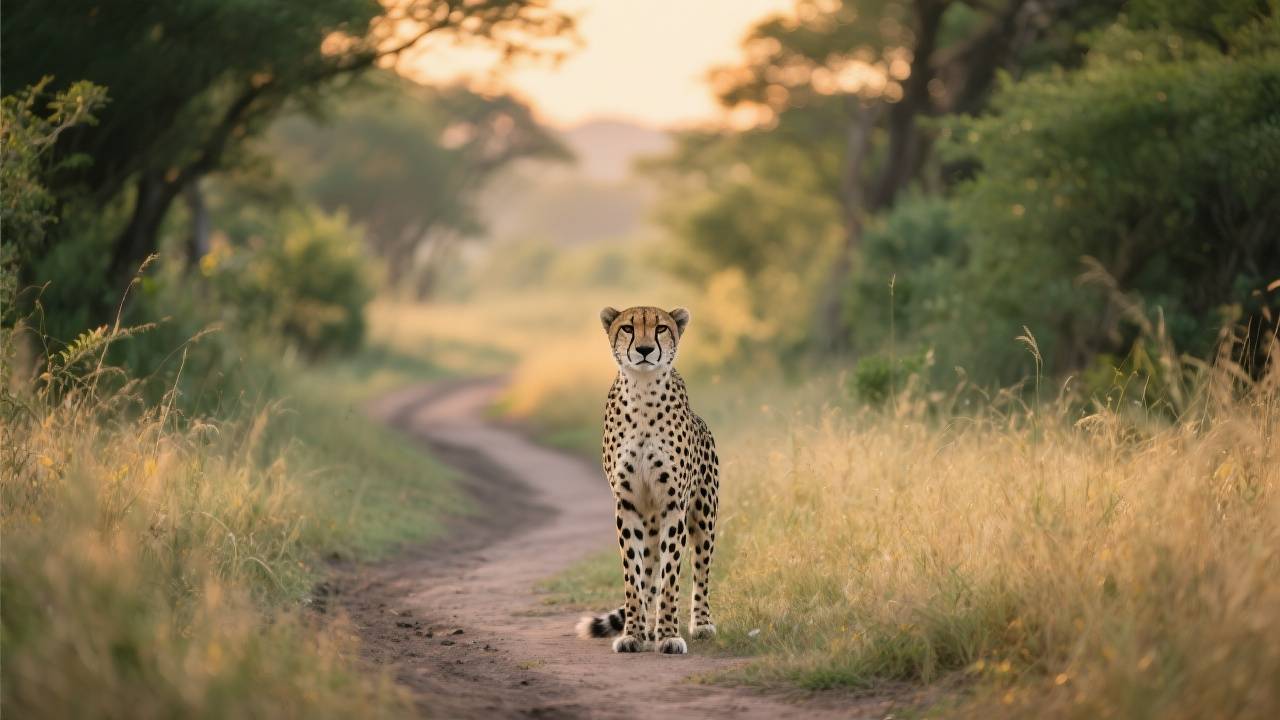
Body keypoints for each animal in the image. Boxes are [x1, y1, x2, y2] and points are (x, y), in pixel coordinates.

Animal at [575, 305, 720, 655]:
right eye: (628, 328)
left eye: (661, 329)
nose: (643, 350)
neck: (643, 391)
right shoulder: (627, 505)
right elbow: (634, 575)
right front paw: (634, 633)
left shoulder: (673, 504)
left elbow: (670, 576)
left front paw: (669, 634)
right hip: (650, 521)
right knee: (649, 570)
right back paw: (648, 628)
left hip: (703, 516)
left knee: (701, 569)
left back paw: (701, 624)